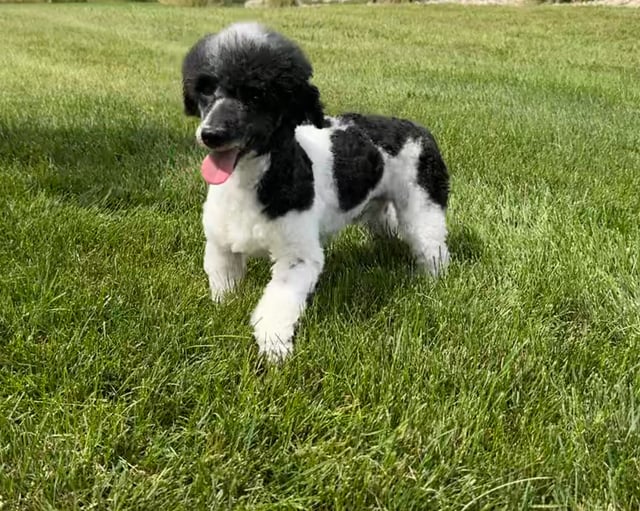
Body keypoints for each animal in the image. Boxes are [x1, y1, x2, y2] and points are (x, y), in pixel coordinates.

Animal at [180, 23, 450, 360]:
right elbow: (223, 287)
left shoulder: (297, 257)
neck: (253, 181)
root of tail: (417, 129)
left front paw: (275, 347)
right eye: (205, 89)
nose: (211, 134)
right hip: (377, 208)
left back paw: (431, 280)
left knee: (432, 245)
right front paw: (223, 313)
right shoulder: (221, 246)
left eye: (257, 94)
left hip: (423, 205)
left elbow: (277, 304)